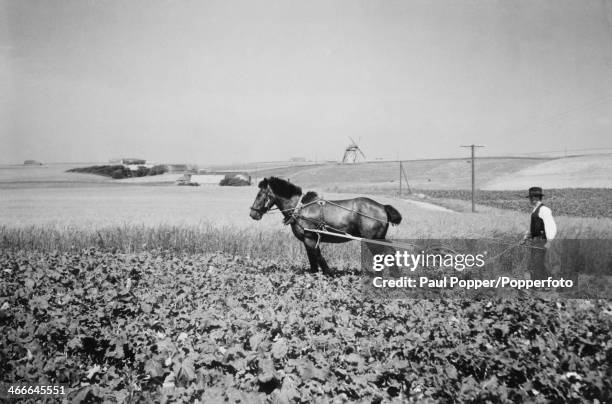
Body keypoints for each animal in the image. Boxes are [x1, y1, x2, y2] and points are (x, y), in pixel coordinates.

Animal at [249, 178, 402, 274]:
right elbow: (313, 262)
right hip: (379, 238)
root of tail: (382, 207)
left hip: (372, 240)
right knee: (390, 253)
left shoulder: (310, 239)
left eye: (260, 194)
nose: (252, 214)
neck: (300, 209)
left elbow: (318, 259)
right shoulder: (308, 241)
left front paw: (328, 275)